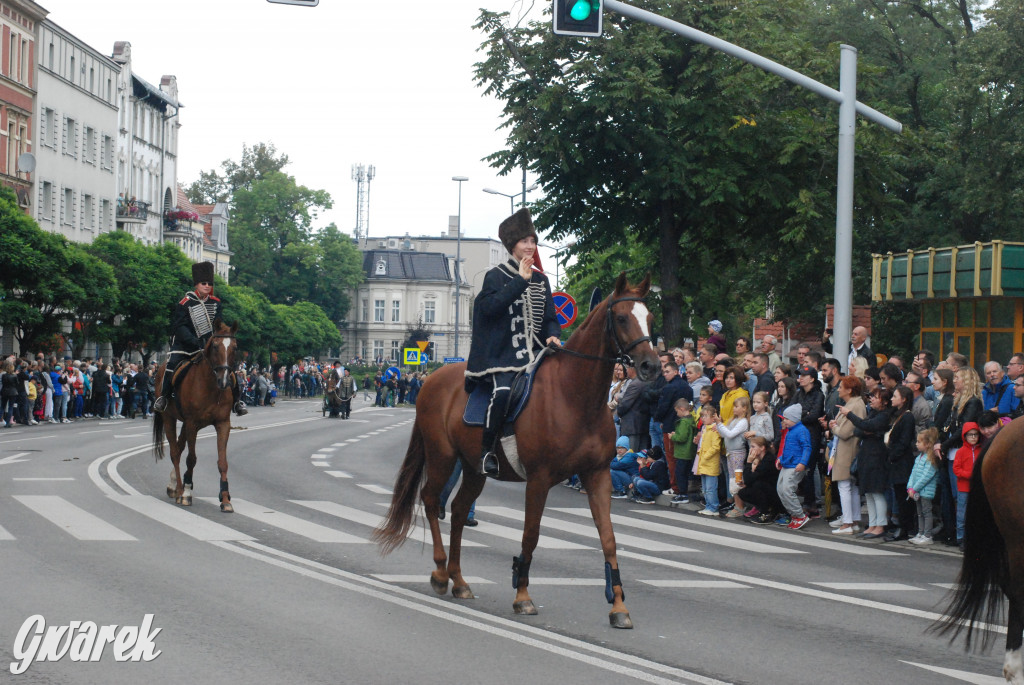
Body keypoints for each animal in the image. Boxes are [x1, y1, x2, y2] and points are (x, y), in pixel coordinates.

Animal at [151, 317, 237, 509]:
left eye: (234, 347)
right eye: (215, 346)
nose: (224, 380)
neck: (212, 387)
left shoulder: (223, 424)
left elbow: (223, 462)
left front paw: (225, 498)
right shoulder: (192, 423)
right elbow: (191, 458)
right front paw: (187, 492)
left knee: (179, 446)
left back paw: (173, 485)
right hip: (169, 418)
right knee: (175, 452)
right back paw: (179, 489)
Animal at [372, 272, 659, 626]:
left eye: (649, 318)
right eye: (621, 318)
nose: (650, 366)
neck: (576, 397)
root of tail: (431, 379)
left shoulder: (597, 475)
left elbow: (609, 539)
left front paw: (618, 606)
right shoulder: (539, 479)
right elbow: (530, 535)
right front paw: (522, 596)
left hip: (474, 467)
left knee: (458, 511)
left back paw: (459, 580)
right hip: (442, 456)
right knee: (430, 500)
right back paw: (440, 573)